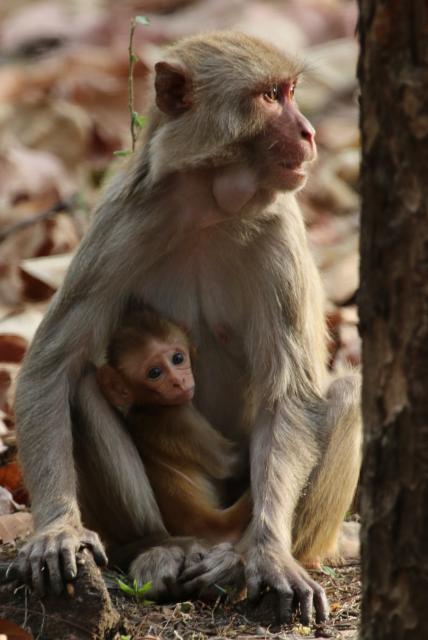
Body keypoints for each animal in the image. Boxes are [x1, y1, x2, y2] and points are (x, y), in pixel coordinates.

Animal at [96, 308, 252, 545]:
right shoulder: (182, 418)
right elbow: (230, 463)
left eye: (178, 358)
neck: (150, 406)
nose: (178, 381)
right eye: (154, 373)